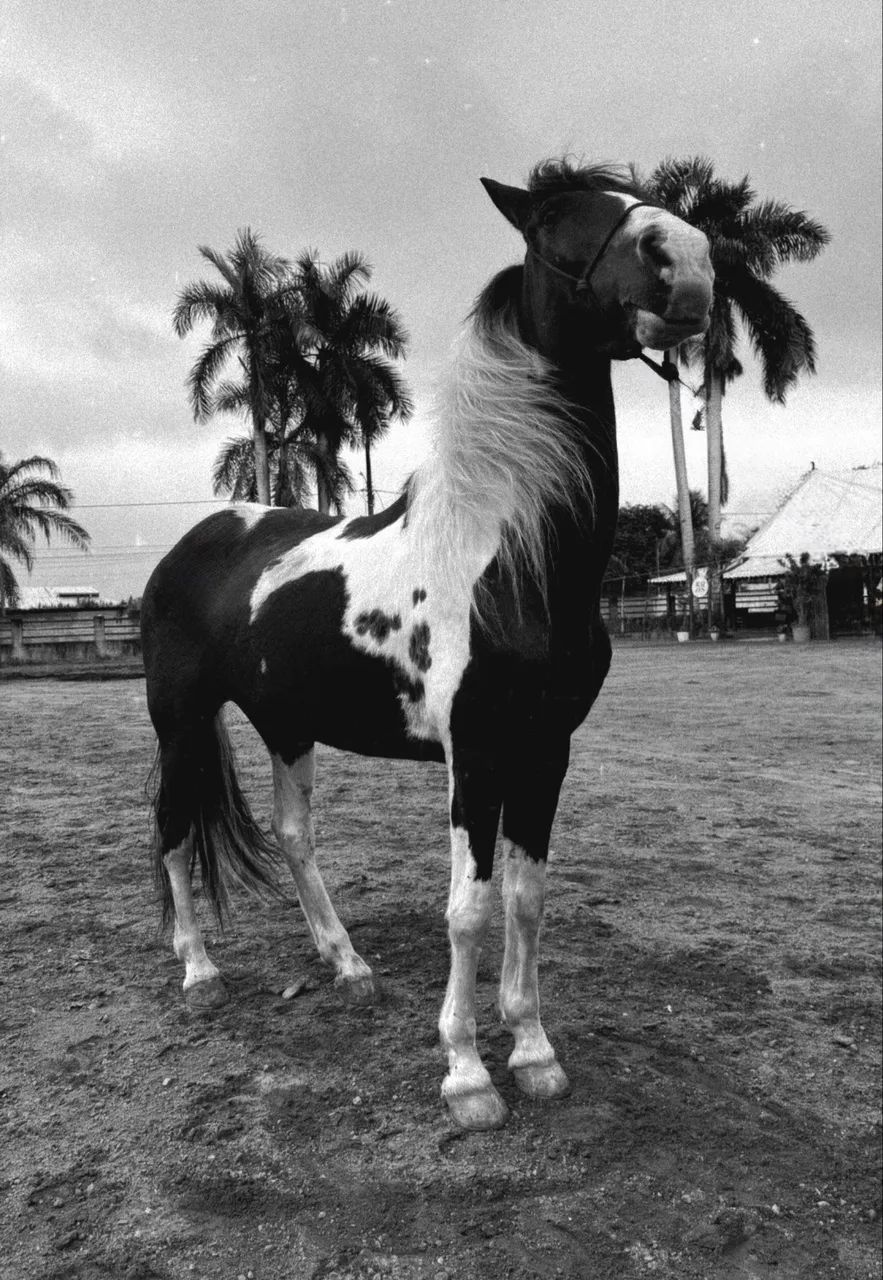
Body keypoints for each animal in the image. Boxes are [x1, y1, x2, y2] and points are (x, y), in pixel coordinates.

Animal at [141, 158, 712, 1131]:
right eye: (554, 220)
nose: (686, 260)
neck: (510, 566)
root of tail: (196, 540)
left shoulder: (545, 752)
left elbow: (525, 899)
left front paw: (533, 1052)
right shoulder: (475, 756)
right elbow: (467, 910)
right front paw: (467, 1075)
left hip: (286, 724)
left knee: (294, 835)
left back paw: (346, 966)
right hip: (181, 722)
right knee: (175, 831)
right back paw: (198, 971)